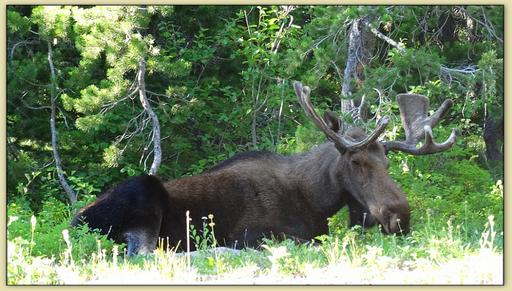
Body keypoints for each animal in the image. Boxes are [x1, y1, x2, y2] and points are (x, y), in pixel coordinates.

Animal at [71, 81, 456, 256]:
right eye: (356, 161)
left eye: (387, 162)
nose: (400, 216)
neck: (317, 201)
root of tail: (74, 222)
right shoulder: (256, 233)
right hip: (143, 190)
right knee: (147, 254)